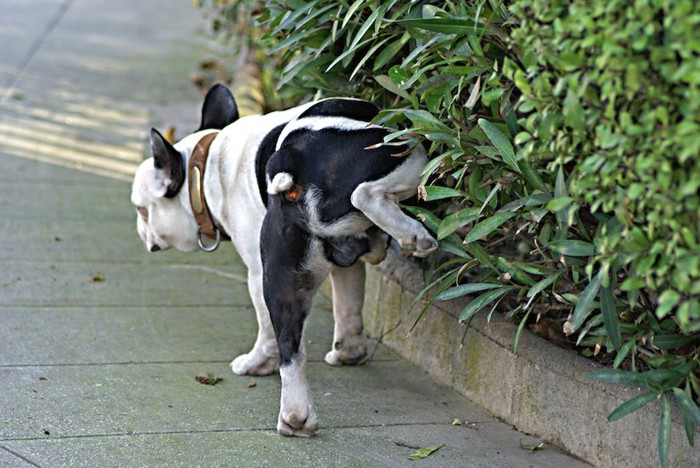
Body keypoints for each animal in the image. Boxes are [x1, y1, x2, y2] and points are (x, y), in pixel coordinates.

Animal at [131, 83, 434, 436]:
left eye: (141, 210)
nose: (141, 229)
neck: (206, 171)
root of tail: (291, 156)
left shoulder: (273, 270)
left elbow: (345, 304)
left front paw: (348, 350)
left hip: (282, 266)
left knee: (289, 342)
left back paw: (293, 413)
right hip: (409, 149)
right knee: (366, 193)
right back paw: (413, 235)